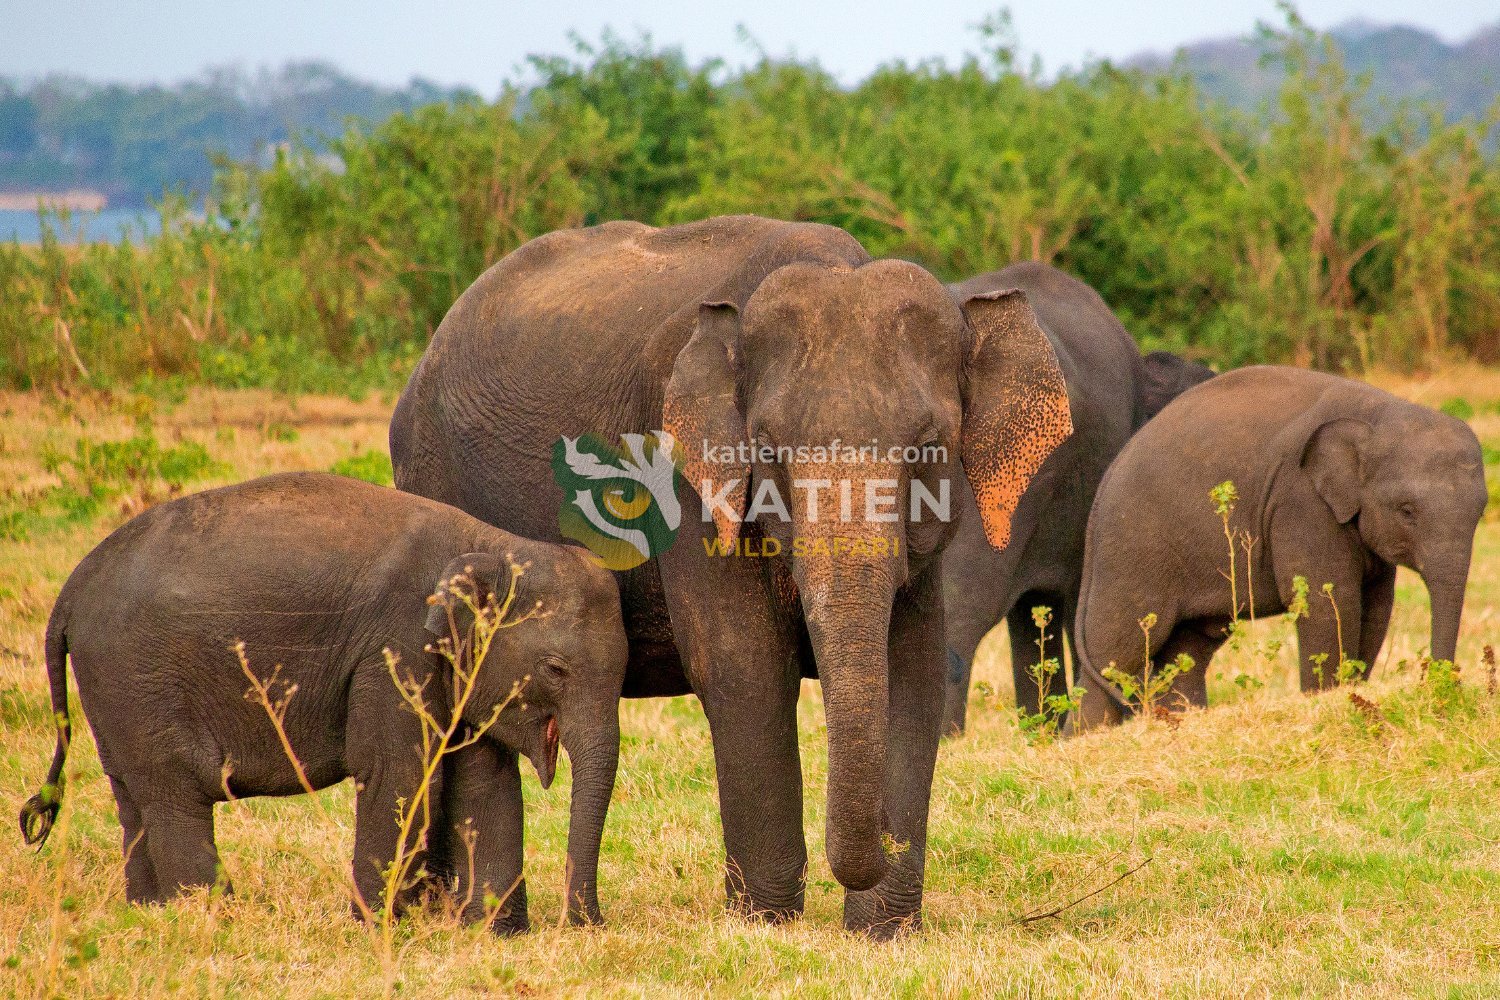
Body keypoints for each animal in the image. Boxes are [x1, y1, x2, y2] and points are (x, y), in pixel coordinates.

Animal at [18, 472, 627, 932]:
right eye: (556, 668)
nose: (586, 923)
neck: (491, 544)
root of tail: (68, 593)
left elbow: (485, 780)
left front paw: (492, 934)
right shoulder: (397, 648)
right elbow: (399, 773)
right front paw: (378, 928)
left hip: (113, 687)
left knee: (132, 793)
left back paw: (151, 912)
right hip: (135, 674)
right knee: (174, 790)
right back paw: (214, 915)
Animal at [389, 215, 1073, 937]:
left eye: (927, 447)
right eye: (766, 450)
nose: (869, 860)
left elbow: (911, 669)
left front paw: (882, 933)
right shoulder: (684, 480)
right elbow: (745, 667)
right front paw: (766, 922)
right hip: (434, 479)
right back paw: (453, 916)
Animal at [1070, 366, 1487, 730]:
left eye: (1482, 509)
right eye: (1407, 511)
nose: (1440, 688)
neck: (1379, 411)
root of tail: (1101, 492)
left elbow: (1376, 607)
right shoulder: (1300, 501)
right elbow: (1328, 601)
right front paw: (1328, 700)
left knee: (1187, 650)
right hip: (1131, 551)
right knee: (1119, 651)